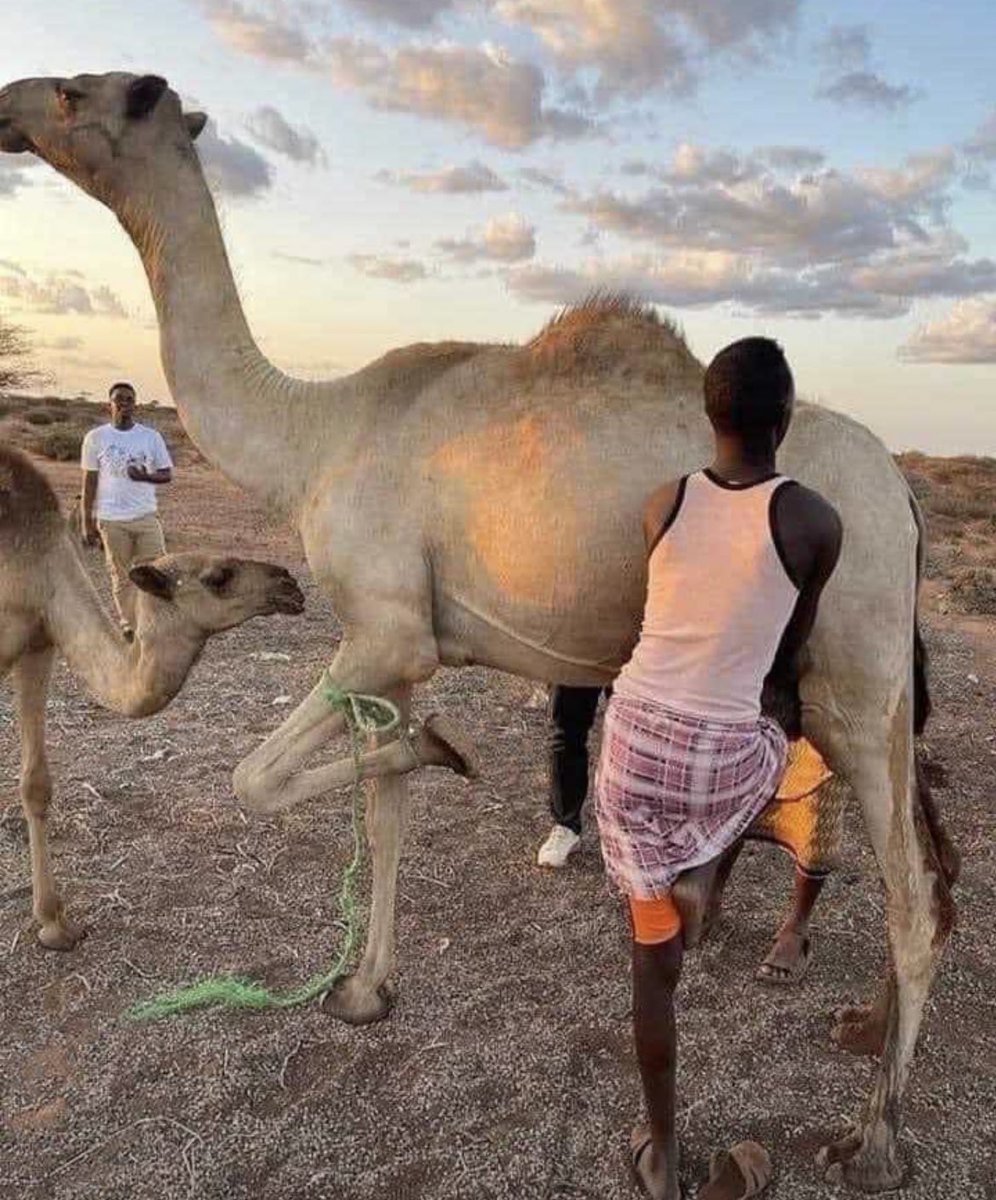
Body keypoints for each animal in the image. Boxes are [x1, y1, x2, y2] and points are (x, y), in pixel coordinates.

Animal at [0, 72, 955, 1191]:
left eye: (87, 93)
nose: (11, 103)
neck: (313, 436)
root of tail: (902, 493)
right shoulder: (397, 647)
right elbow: (383, 813)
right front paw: (365, 988)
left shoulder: (383, 632)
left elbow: (255, 781)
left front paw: (440, 756)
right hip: (872, 685)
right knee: (927, 859)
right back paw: (863, 1031)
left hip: (856, 673)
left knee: (909, 892)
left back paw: (875, 1138)